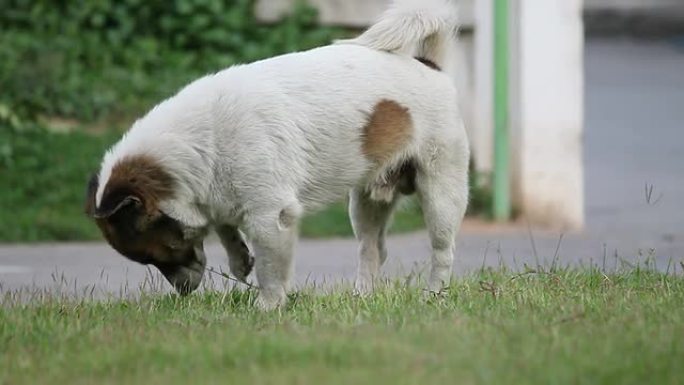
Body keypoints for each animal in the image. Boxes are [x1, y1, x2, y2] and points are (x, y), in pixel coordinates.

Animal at [84, 0, 470, 308]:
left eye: (159, 253)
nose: (182, 293)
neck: (199, 142)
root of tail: (428, 65)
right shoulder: (222, 197)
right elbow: (227, 230)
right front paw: (239, 260)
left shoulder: (271, 218)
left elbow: (271, 269)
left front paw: (268, 307)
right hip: (366, 204)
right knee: (372, 250)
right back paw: (362, 297)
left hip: (440, 195)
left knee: (443, 250)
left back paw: (434, 295)